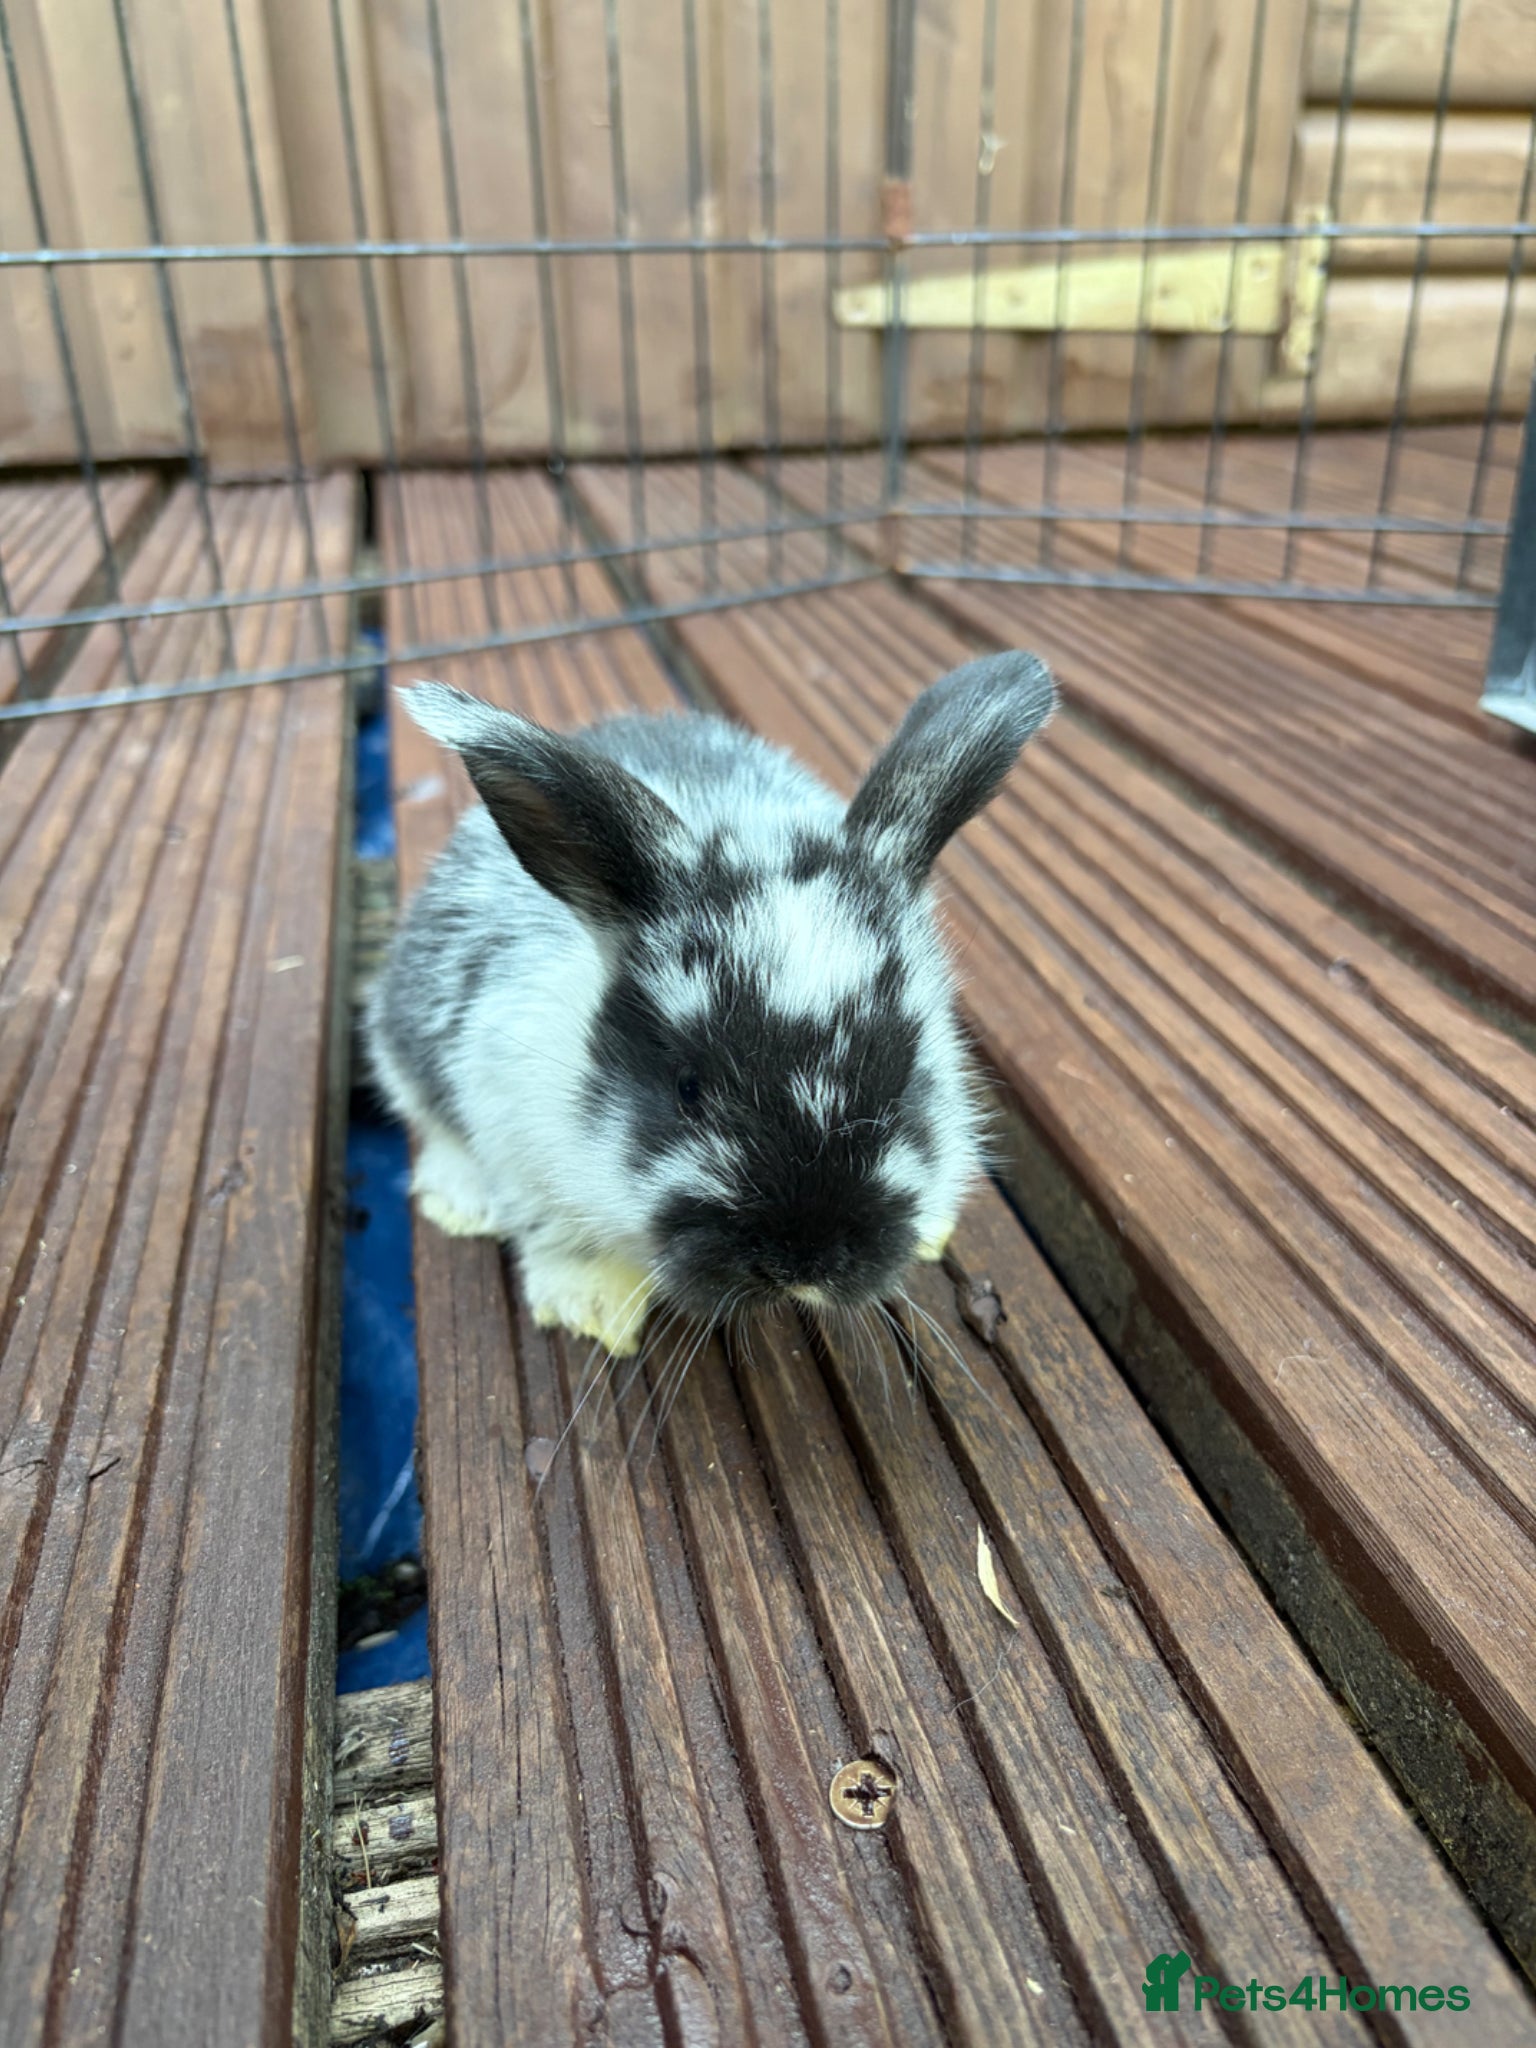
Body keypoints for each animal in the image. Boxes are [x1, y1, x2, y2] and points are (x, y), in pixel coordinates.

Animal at [365, 650, 1056, 1356]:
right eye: (688, 1090)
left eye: (904, 1085)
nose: (802, 1265)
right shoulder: (511, 1115)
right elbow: (558, 1228)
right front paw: (591, 1310)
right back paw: (461, 1207)